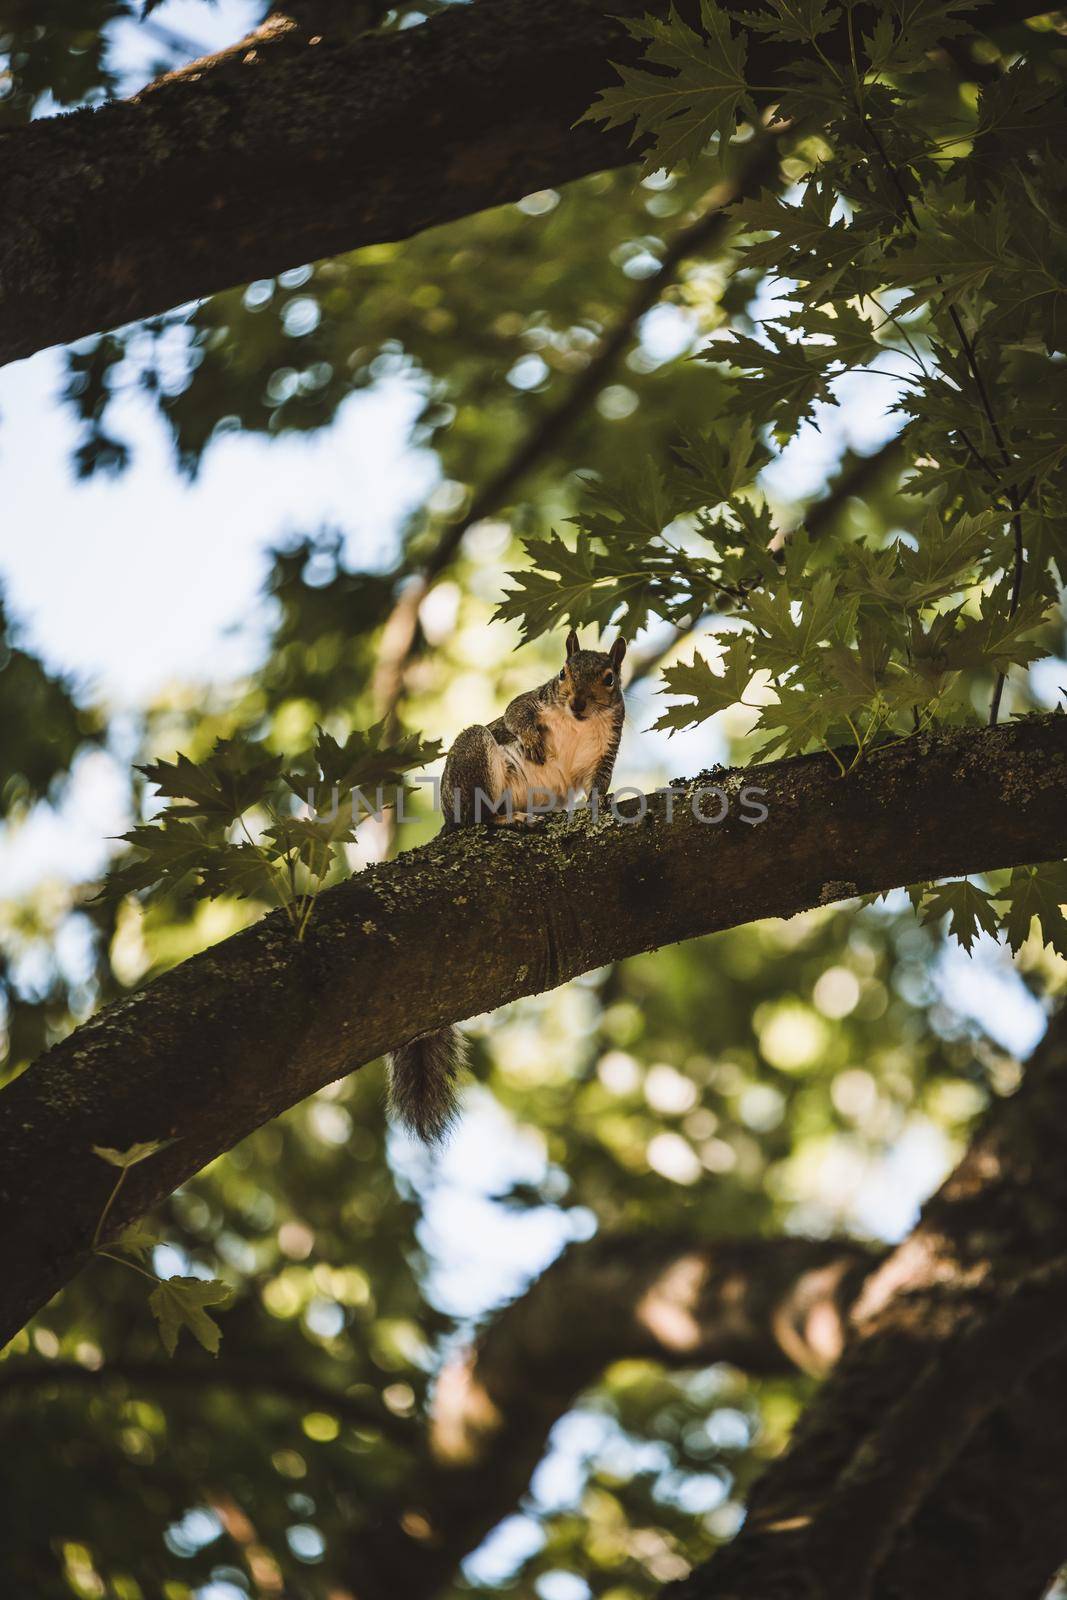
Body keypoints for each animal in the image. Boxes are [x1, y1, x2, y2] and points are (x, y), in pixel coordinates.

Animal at [390, 630, 627, 1145]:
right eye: (562, 673)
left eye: (609, 678)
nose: (578, 704)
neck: (579, 723)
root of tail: (448, 818)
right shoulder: (533, 700)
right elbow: (517, 713)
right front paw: (536, 742)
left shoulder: (609, 746)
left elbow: (599, 784)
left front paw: (603, 805)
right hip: (477, 760)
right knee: (480, 815)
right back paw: (507, 819)